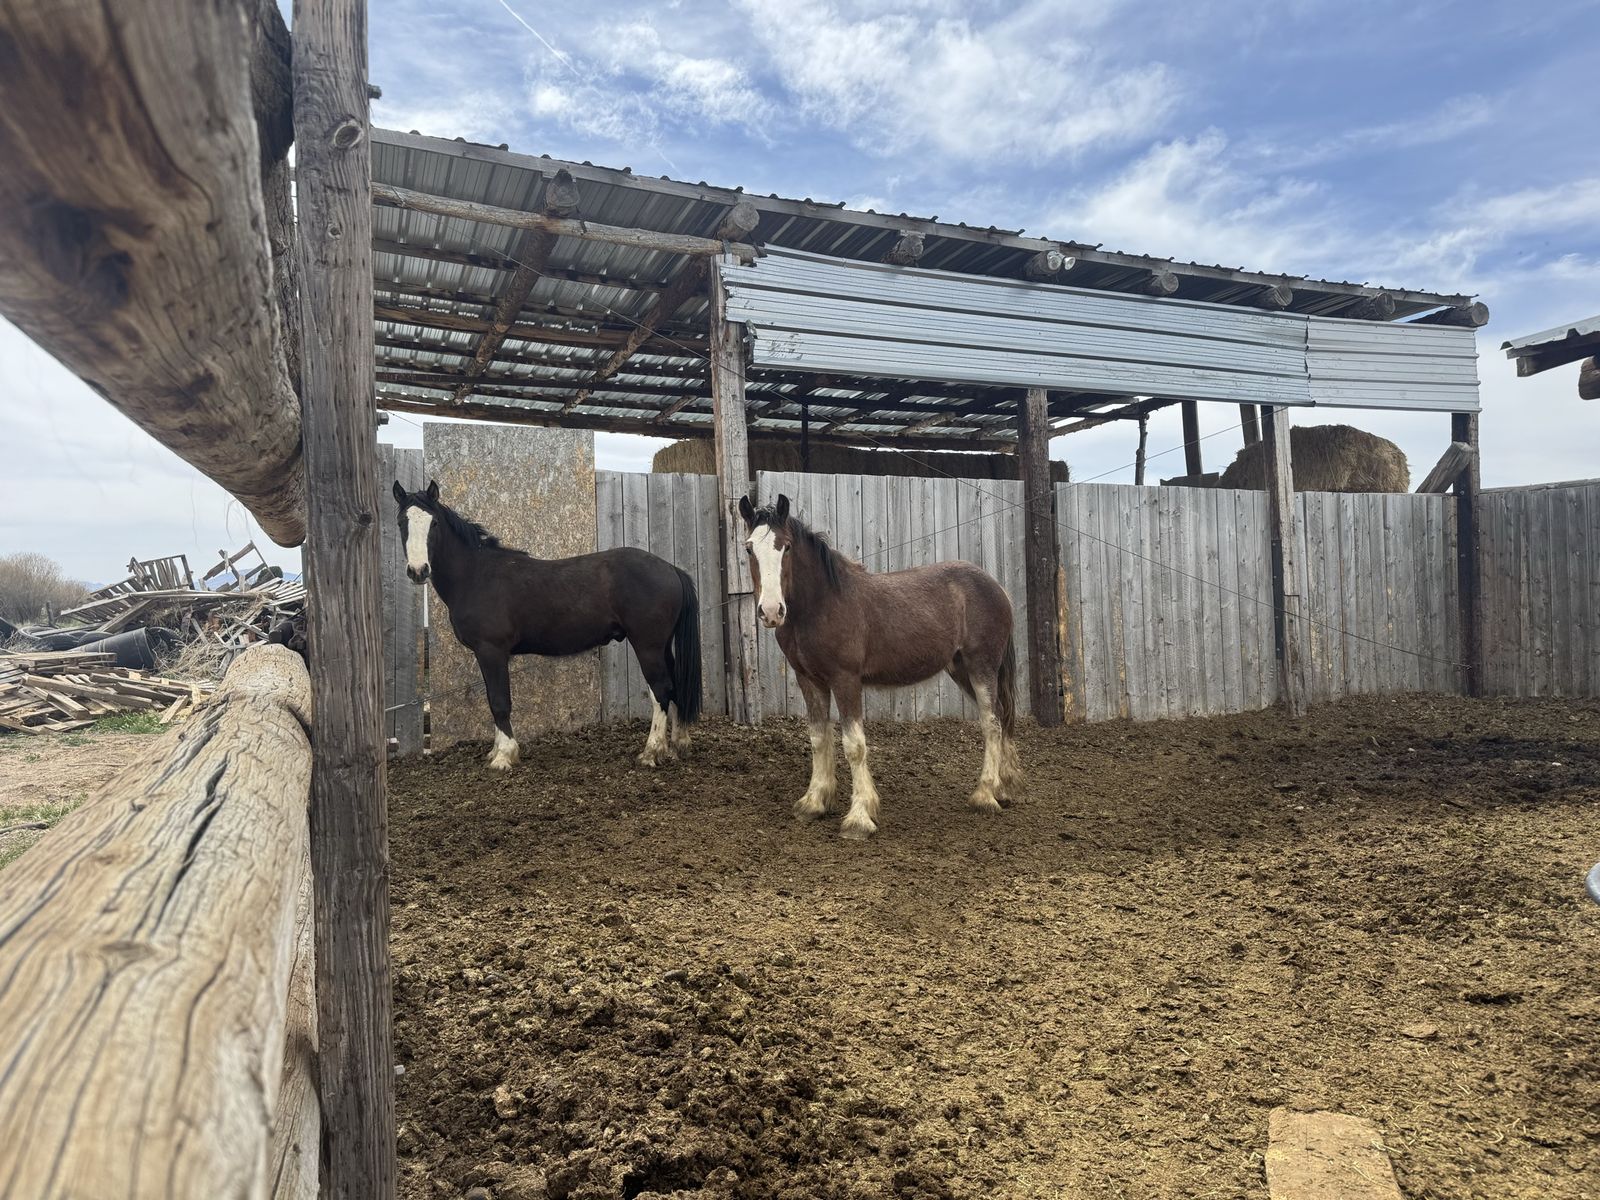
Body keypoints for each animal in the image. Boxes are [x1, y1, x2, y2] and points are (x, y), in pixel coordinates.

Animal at [393, 480, 701, 770]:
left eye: (433, 523)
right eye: (401, 522)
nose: (418, 571)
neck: (476, 575)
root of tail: (671, 569)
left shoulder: (492, 651)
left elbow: (500, 702)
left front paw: (504, 756)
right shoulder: (485, 655)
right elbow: (494, 701)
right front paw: (496, 751)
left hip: (647, 645)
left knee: (661, 689)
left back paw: (651, 752)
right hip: (662, 646)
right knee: (674, 687)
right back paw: (677, 745)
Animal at [738, 493, 1022, 839]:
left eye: (786, 546)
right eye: (749, 548)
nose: (771, 611)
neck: (821, 604)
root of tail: (997, 587)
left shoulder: (845, 679)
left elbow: (854, 745)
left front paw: (859, 817)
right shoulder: (809, 679)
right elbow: (819, 738)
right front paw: (814, 803)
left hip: (982, 666)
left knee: (991, 723)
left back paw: (984, 795)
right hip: (960, 669)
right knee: (1002, 717)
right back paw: (1003, 789)